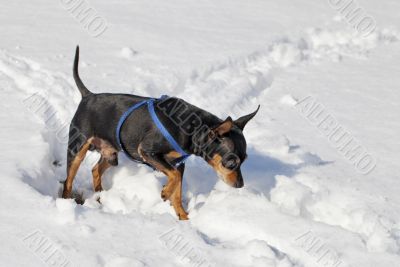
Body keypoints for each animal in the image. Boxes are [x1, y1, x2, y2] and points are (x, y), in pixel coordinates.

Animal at [62, 47, 260, 221]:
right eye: (231, 162)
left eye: (244, 161)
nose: (240, 185)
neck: (190, 127)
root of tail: (88, 95)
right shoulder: (148, 152)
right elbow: (173, 179)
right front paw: (165, 193)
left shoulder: (178, 164)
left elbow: (177, 189)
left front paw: (183, 217)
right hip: (77, 149)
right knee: (68, 180)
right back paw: (65, 202)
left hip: (111, 154)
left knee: (95, 169)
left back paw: (100, 195)